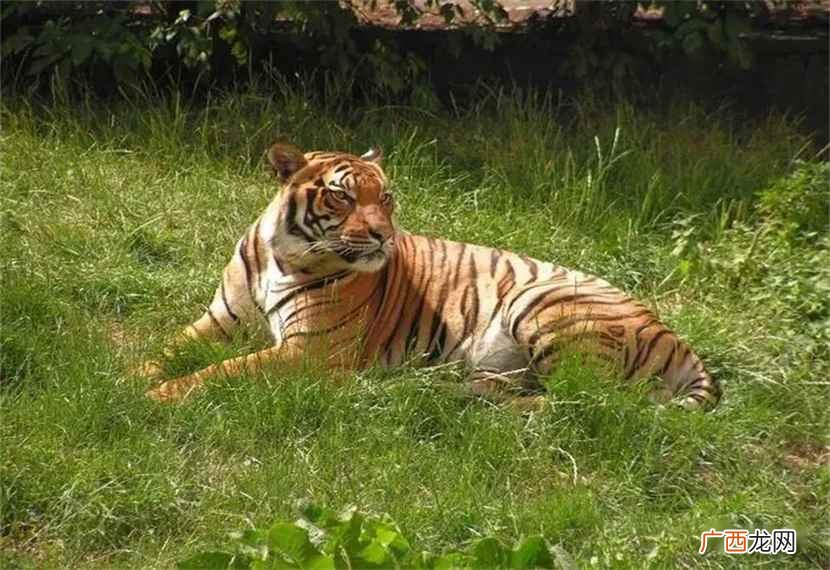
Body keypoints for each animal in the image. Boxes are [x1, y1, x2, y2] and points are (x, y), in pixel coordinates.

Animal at [139, 142, 721, 411]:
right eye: (342, 197)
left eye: (386, 197)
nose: (383, 236)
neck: (285, 256)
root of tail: (672, 333)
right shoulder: (219, 319)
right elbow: (167, 349)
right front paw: (129, 376)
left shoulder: (309, 350)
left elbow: (222, 371)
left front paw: (157, 396)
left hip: (541, 301)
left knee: (574, 402)